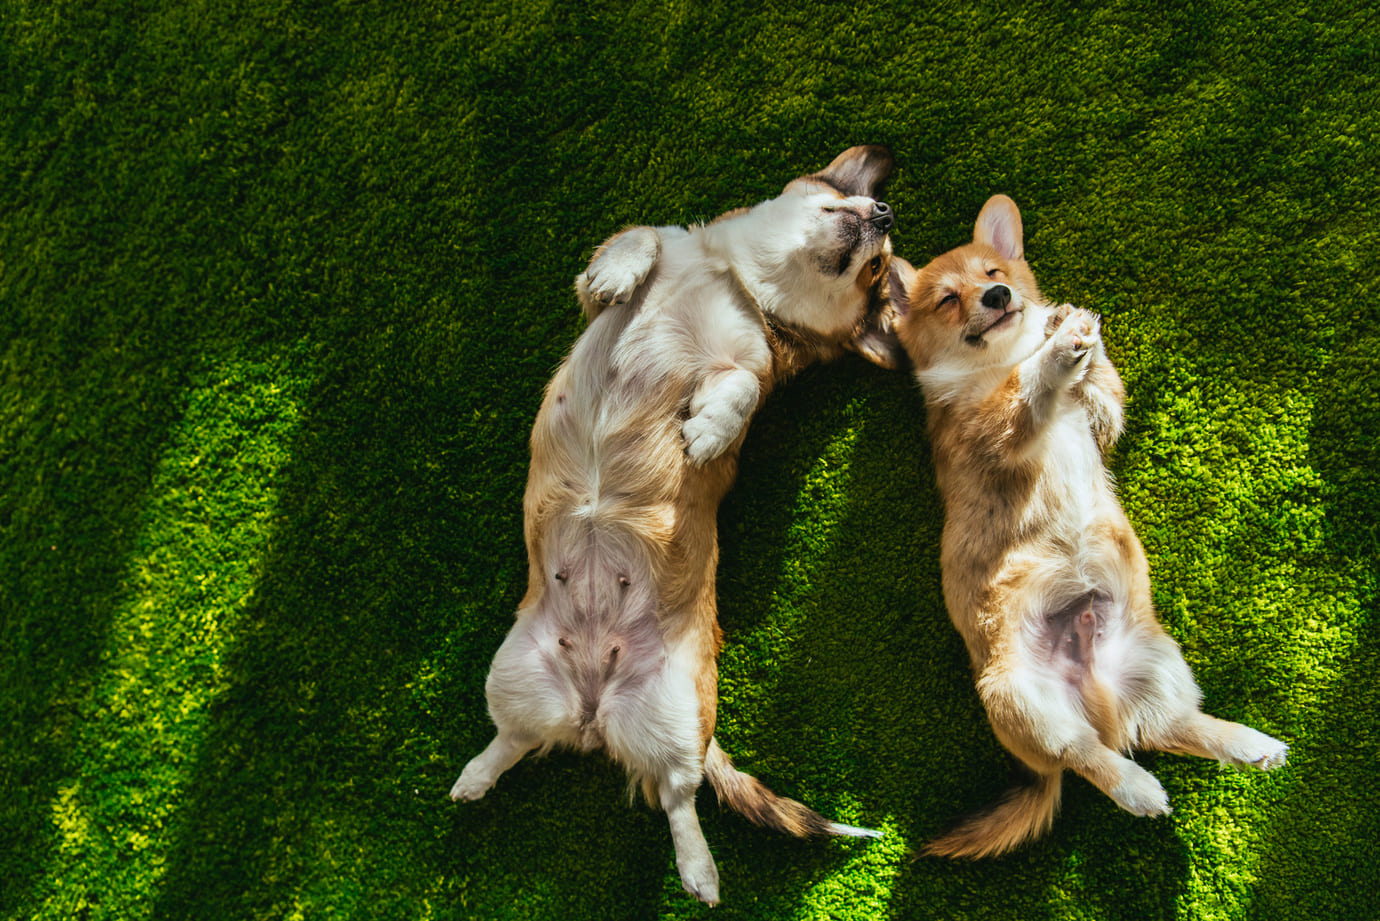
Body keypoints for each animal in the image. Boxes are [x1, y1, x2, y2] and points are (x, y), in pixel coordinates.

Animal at [455, 147, 905, 905]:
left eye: (877, 270)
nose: (885, 211)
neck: (742, 281)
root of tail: (592, 710)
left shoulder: (749, 364)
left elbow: (740, 388)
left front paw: (710, 431)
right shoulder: (609, 284)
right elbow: (639, 236)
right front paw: (620, 272)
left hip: (675, 711)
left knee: (677, 794)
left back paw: (700, 870)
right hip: (513, 675)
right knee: (515, 740)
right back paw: (475, 775)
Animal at [888, 196, 1286, 867]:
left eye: (996, 271)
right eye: (947, 299)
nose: (998, 296)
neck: (997, 360)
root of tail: (1094, 699)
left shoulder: (1101, 420)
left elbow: (1102, 389)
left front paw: (1071, 327)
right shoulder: (994, 432)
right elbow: (1028, 391)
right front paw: (1054, 353)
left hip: (1159, 664)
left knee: (1169, 728)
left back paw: (1246, 743)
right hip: (1024, 701)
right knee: (1088, 758)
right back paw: (1139, 789)